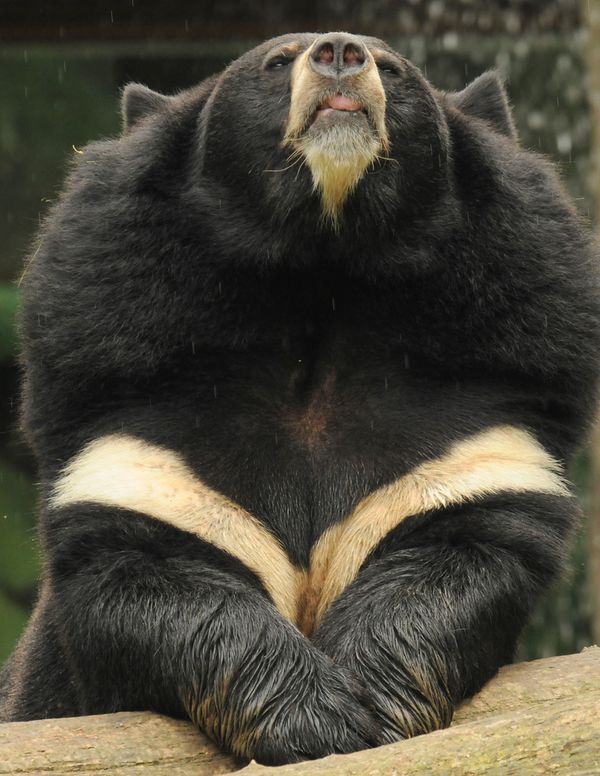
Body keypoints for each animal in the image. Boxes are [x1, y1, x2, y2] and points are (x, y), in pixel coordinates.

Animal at [1, 31, 600, 765]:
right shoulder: (134, 417)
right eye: (278, 60)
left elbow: (459, 557)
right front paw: (317, 721)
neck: (320, 270)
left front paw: (365, 705)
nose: (340, 51)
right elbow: (158, 575)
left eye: (392, 67)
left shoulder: (481, 420)